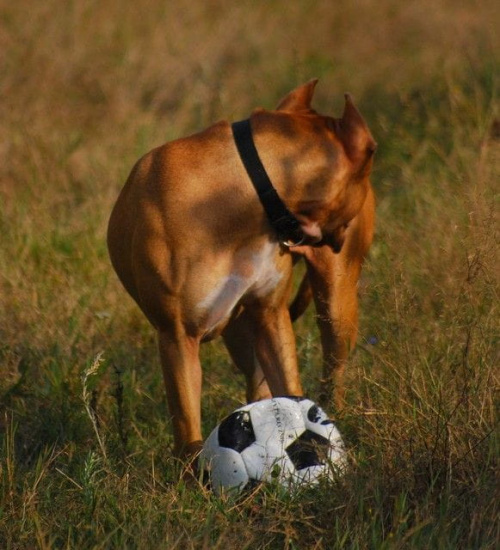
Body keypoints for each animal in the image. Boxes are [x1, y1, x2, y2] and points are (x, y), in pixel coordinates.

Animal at [108, 77, 376, 458]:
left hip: (334, 307)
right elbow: (187, 427)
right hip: (241, 335)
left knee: (332, 369)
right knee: (256, 385)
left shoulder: (271, 317)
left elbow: (290, 386)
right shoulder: (178, 339)